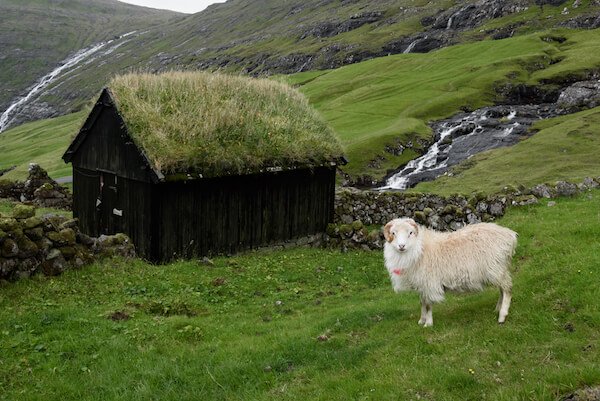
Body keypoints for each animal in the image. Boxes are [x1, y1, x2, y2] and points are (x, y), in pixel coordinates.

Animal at [384, 217, 520, 326]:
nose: (401, 246)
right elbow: (422, 302)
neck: (420, 249)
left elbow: (428, 305)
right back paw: (497, 309)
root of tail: (510, 235)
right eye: (393, 233)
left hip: (496, 268)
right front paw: (421, 320)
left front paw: (428, 324)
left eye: (410, 233)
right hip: (499, 270)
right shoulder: (421, 284)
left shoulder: (429, 283)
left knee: (507, 289)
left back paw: (502, 315)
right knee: (502, 290)